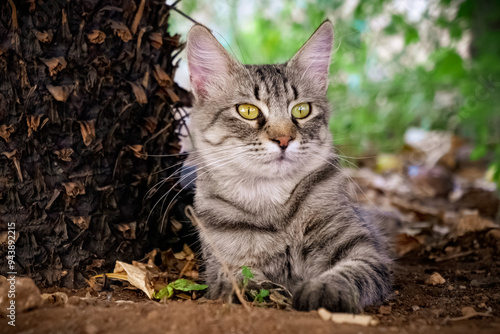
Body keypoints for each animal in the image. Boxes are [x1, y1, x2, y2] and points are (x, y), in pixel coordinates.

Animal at [186, 20, 392, 314]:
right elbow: (241, 280)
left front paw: (323, 290)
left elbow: (351, 272)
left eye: (301, 110)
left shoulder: (362, 248)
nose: (284, 139)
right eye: (247, 111)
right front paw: (261, 291)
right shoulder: (223, 263)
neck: (275, 208)